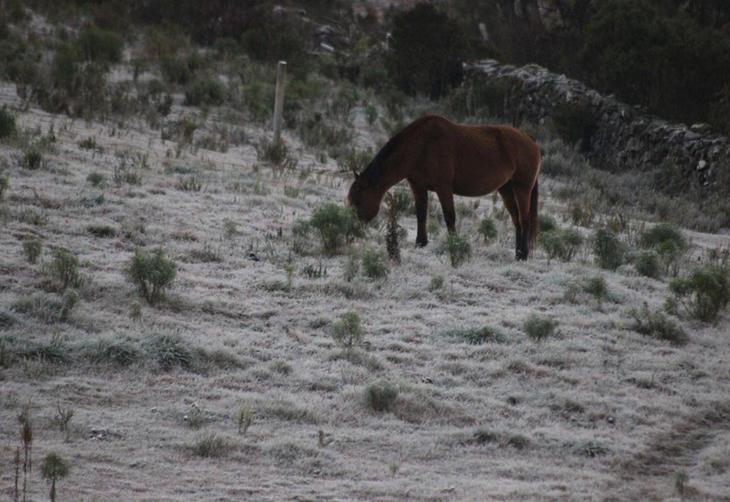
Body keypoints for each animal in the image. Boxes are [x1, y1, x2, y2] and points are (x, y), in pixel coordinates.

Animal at [346, 115, 540, 260]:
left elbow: (449, 217)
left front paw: (454, 246)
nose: (353, 230)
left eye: (358, 201)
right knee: (516, 220)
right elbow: (421, 213)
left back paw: (523, 255)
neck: (422, 146)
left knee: (524, 219)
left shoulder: (444, 187)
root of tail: (530, 140)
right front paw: (420, 243)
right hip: (506, 190)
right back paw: (518, 253)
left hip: (522, 189)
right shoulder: (417, 186)